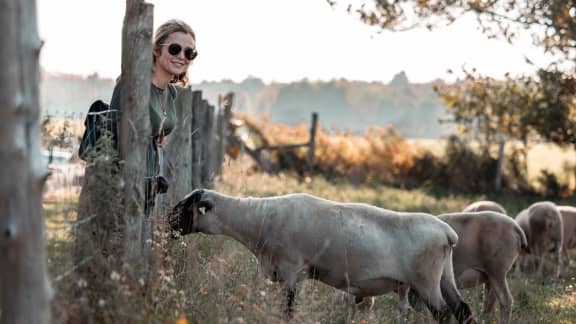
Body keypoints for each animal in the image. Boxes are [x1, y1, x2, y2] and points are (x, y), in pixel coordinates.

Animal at [169, 189, 474, 322]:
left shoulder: (291, 270)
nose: (166, 225)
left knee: (444, 315)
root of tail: (446, 232)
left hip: (425, 281)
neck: (259, 218)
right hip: (443, 277)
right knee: (463, 311)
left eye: (185, 207)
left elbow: (288, 308)